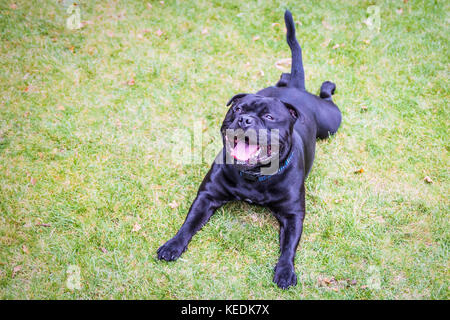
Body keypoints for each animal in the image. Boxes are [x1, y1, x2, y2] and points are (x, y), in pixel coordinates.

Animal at [157, 10, 342, 290]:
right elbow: (188, 224)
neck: (255, 176)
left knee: (328, 97)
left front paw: (285, 271)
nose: (245, 120)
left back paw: (327, 86)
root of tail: (296, 89)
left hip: (331, 121)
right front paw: (173, 244)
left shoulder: (293, 215)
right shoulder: (207, 196)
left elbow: (289, 247)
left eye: (268, 116)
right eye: (237, 109)